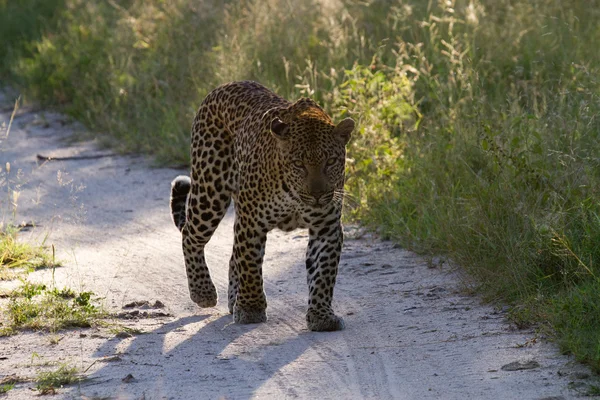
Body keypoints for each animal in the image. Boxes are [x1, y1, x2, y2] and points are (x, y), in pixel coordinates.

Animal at [169, 80, 354, 332]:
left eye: (331, 162)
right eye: (299, 164)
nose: (317, 195)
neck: (294, 195)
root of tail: (224, 86)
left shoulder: (326, 228)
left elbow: (324, 272)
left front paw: (321, 315)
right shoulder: (252, 222)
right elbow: (249, 265)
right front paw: (251, 309)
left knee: (232, 255)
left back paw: (232, 299)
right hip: (210, 192)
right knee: (191, 235)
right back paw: (203, 291)